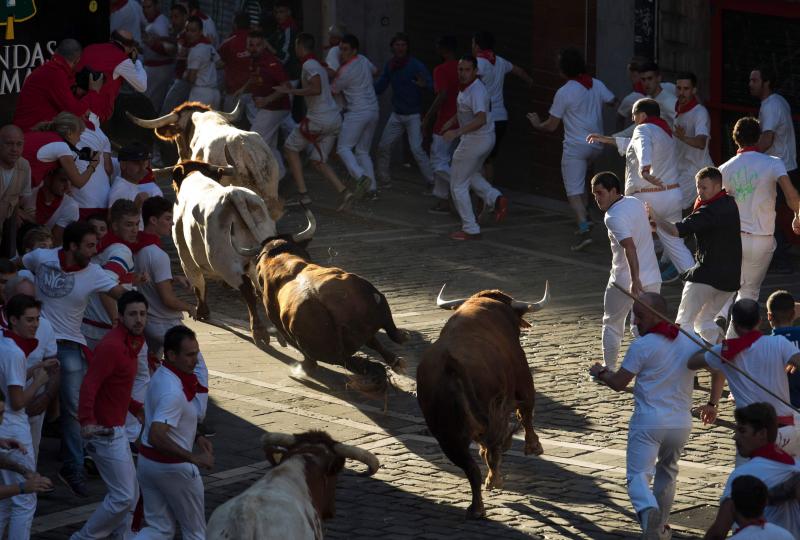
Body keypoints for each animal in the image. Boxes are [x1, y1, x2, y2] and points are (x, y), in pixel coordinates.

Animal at [230, 227, 406, 388]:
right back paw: (397, 358)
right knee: (387, 335)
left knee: (352, 361)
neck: (281, 260)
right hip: (376, 307)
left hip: (332, 351)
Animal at [412, 284, 552, 520]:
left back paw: (476, 507)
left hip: (446, 435)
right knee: (492, 450)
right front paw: (534, 447)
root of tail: (450, 363)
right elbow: (526, 413)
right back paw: (494, 481)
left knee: (471, 468)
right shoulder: (523, 383)